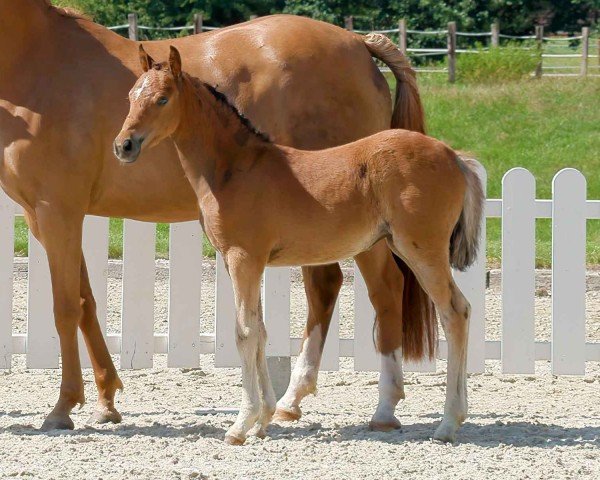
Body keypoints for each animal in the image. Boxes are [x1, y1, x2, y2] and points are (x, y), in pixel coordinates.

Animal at [115, 47, 486, 444]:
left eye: (162, 98)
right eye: (131, 96)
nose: (123, 145)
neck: (235, 168)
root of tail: (455, 157)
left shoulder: (243, 258)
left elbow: (244, 333)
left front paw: (241, 425)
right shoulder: (245, 262)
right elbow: (260, 330)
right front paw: (262, 420)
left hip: (423, 251)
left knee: (454, 313)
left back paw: (447, 424)